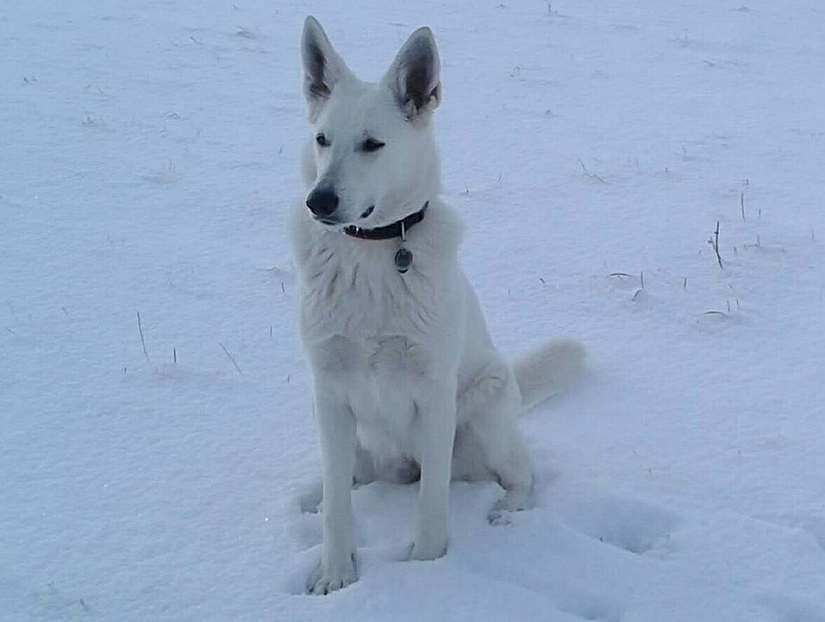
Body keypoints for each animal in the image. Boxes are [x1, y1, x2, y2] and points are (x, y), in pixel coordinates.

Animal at [290, 17, 584, 596]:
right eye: (322, 139)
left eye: (373, 144)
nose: (319, 201)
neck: (372, 252)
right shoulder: (328, 392)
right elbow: (338, 508)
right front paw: (335, 573)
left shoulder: (432, 392)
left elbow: (432, 503)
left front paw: (426, 571)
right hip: (358, 439)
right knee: (349, 480)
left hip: (484, 415)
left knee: (521, 474)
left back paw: (506, 510)